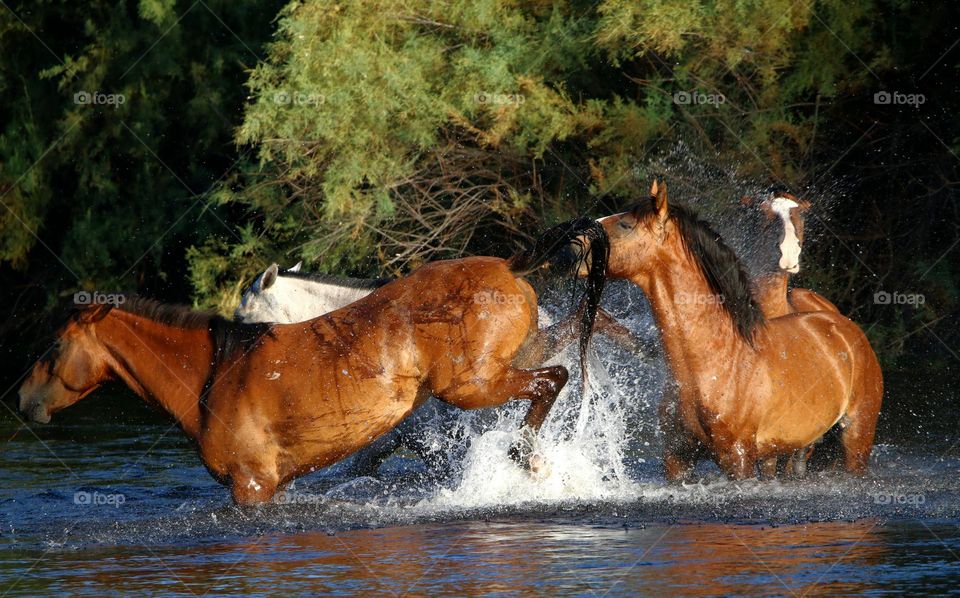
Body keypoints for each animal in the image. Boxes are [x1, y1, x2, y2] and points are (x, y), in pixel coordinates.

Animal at [18, 219, 609, 504]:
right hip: (506, 364)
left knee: (552, 380)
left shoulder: (252, 487)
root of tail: (509, 265)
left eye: (53, 348)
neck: (214, 374)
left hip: (472, 386)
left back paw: (528, 457)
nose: (23, 400)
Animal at [578, 181, 882, 481]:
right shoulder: (676, 460)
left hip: (857, 438)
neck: (716, 362)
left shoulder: (739, 458)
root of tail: (846, 327)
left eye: (625, 224)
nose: (576, 242)